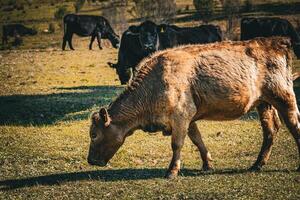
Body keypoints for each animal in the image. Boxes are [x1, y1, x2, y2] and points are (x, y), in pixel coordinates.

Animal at [86, 37, 300, 178]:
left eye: (94, 134)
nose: (90, 161)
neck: (154, 83)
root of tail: (277, 42)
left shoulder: (181, 116)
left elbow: (176, 144)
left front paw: (172, 171)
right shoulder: (189, 119)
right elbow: (197, 140)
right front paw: (207, 164)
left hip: (284, 98)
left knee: (294, 125)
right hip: (264, 104)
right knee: (270, 130)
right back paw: (257, 164)